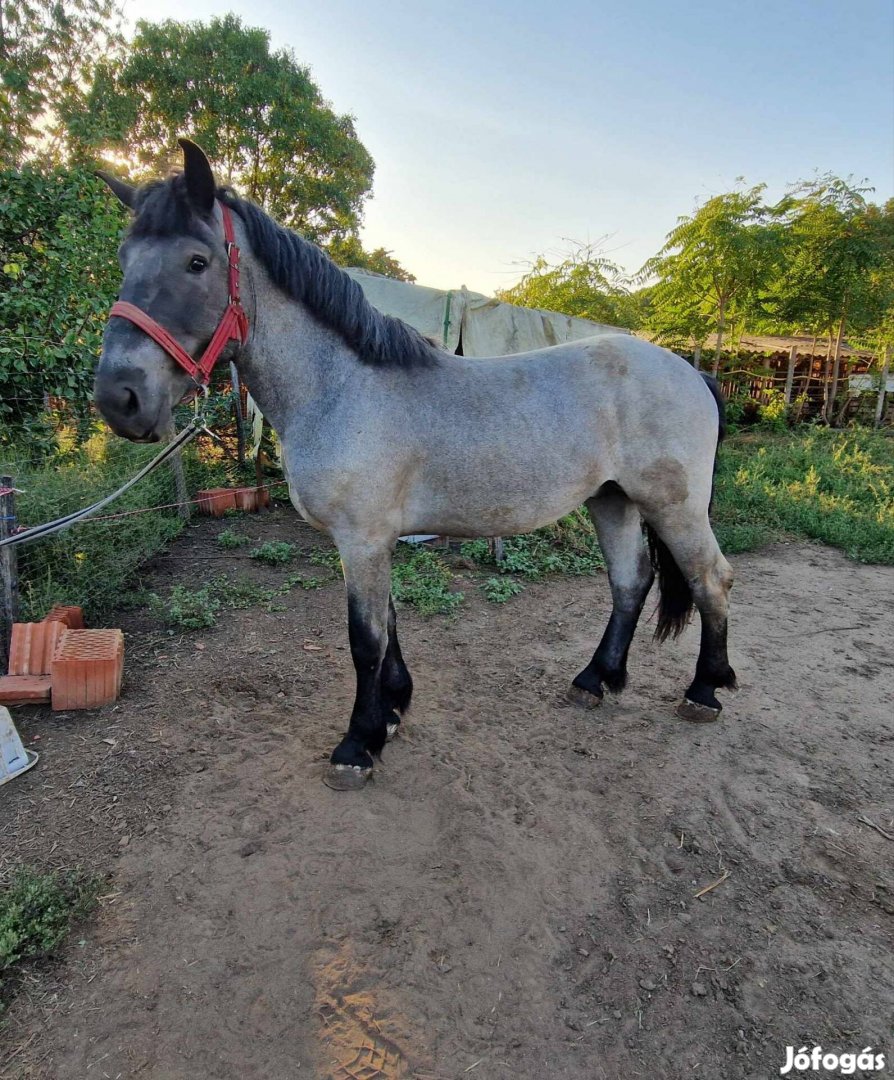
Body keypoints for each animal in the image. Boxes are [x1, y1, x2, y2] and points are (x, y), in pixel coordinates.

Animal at [90, 139, 738, 790]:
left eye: (196, 262)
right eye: (123, 257)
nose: (120, 397)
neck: (341, 386)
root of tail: (691, 373)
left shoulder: (362, 537)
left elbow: (366, 639)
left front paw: (357, 744)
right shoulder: (375, 538)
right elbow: (390, 623)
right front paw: (394, 709)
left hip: (673, 507)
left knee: (711, 578)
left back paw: (704, 691)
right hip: (612, 500)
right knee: (630, 581)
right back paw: (594, 681)